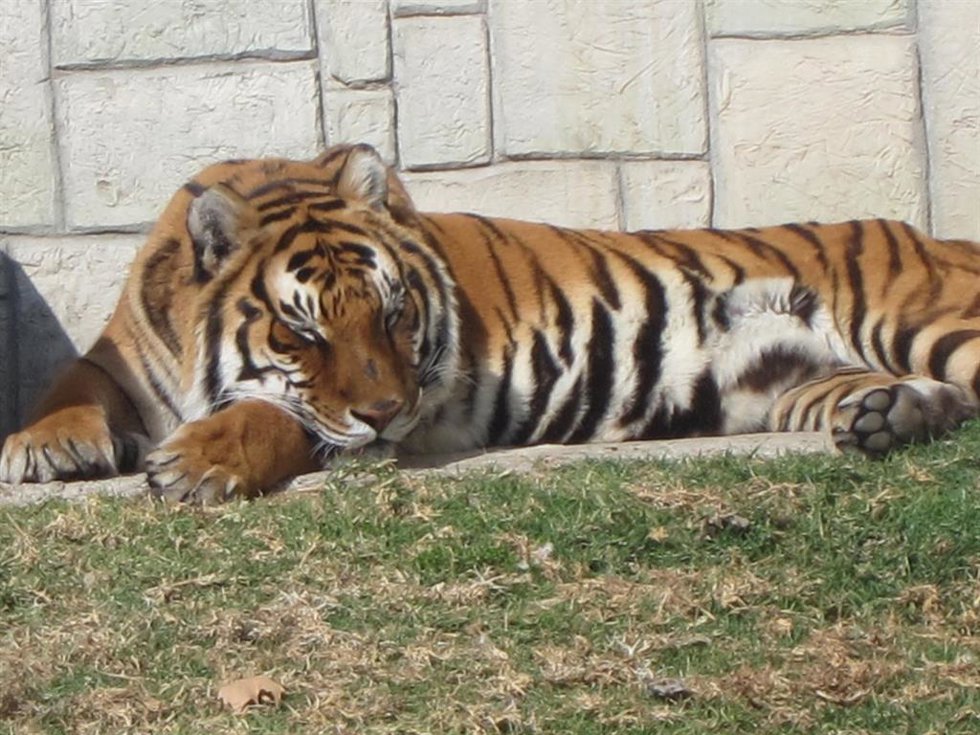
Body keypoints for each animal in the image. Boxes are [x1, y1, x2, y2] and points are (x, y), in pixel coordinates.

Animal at [1, 143, 978, 503]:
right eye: (305, 332)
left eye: (396, 315)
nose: (385, 410)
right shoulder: (125, 352)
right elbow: (74, 381)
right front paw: (43, 446)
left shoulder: (387, 421)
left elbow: (278, 418)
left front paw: (197, 461)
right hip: (801, 382)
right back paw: (894, 416)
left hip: (925, 319)